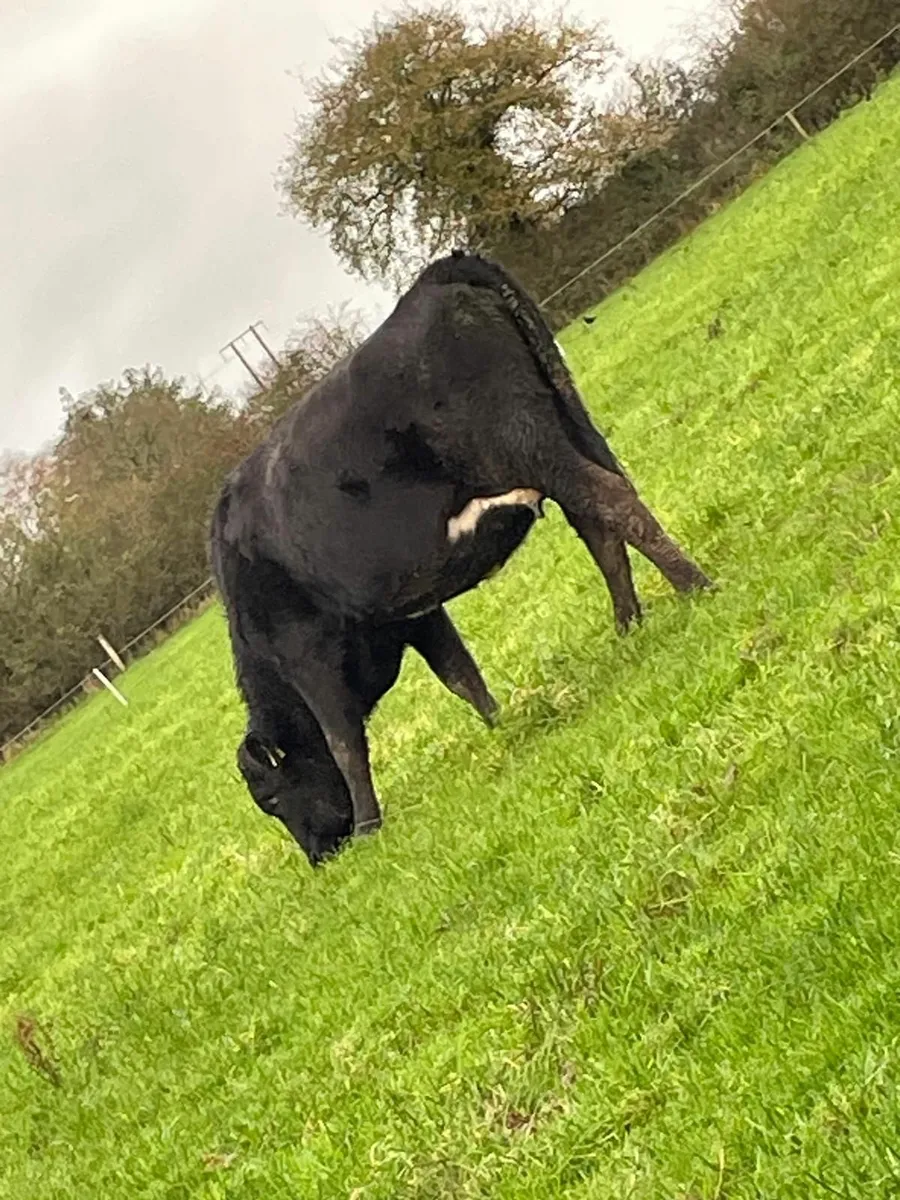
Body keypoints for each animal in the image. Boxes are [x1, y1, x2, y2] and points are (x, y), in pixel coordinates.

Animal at [210, 250, 710, 866]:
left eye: (273, 799)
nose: (321, 856)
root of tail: (437, 276)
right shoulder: (413, 611)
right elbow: (460, 674)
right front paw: (502, 725)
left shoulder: (308, 655)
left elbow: (343, 741)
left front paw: (371, 826)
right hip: (570, 425)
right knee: (602, 521)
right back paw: (628, 625)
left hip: (528, 443)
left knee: (609, 503)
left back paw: (695, 587)